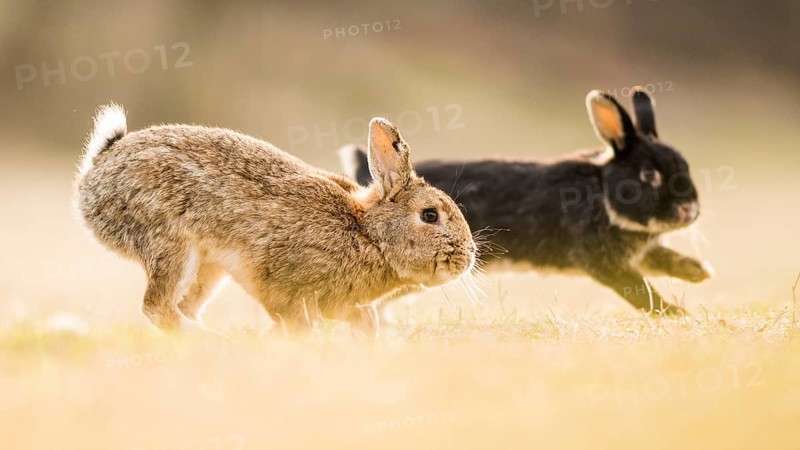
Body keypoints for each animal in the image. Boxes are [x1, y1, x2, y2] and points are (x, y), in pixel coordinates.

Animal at [74, 104, 476, 333]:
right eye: (429, 215)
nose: (469, 255)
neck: (367, 233)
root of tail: (97, 171)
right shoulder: (282, 284)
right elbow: (295, 321)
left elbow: (362, 319)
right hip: (172, 245)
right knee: (157, 308)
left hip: (208, 269)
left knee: (182, 307)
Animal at [340, 88, 712, 315]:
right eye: (649, 175)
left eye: (685, 165)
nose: (690, 210)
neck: (603, 191)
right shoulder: (601, 259)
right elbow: (638, 289)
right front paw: (676, 313)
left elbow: (659, 258)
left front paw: (699, 272)